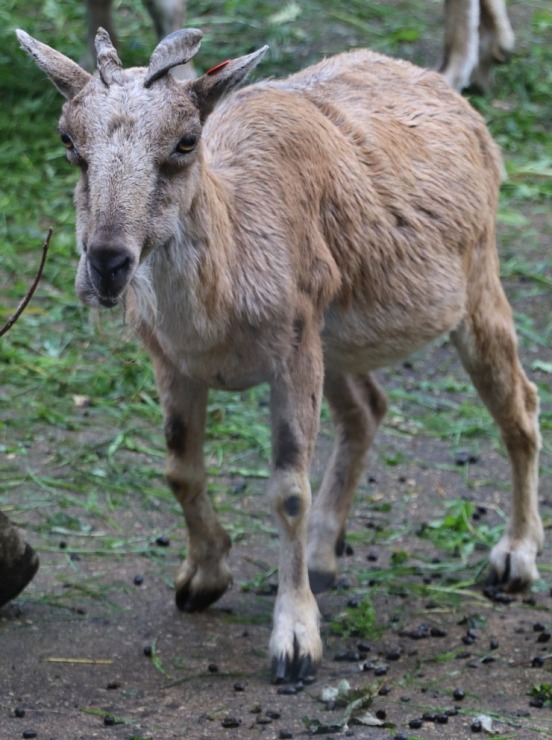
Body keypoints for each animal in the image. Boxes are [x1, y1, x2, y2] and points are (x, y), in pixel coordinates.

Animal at [18, 26, 544, 684]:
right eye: (68, 140)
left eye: (186, 141)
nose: (108, 264)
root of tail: (451, 98)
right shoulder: (175, 362)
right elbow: (180, 470)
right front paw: (203, 578)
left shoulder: (293, 348)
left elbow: (288, 490)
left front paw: (295, 642)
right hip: (337, 341)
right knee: (367, 410)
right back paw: (323, 555)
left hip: (473, 284)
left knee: (520, 407)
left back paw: (514, 560)